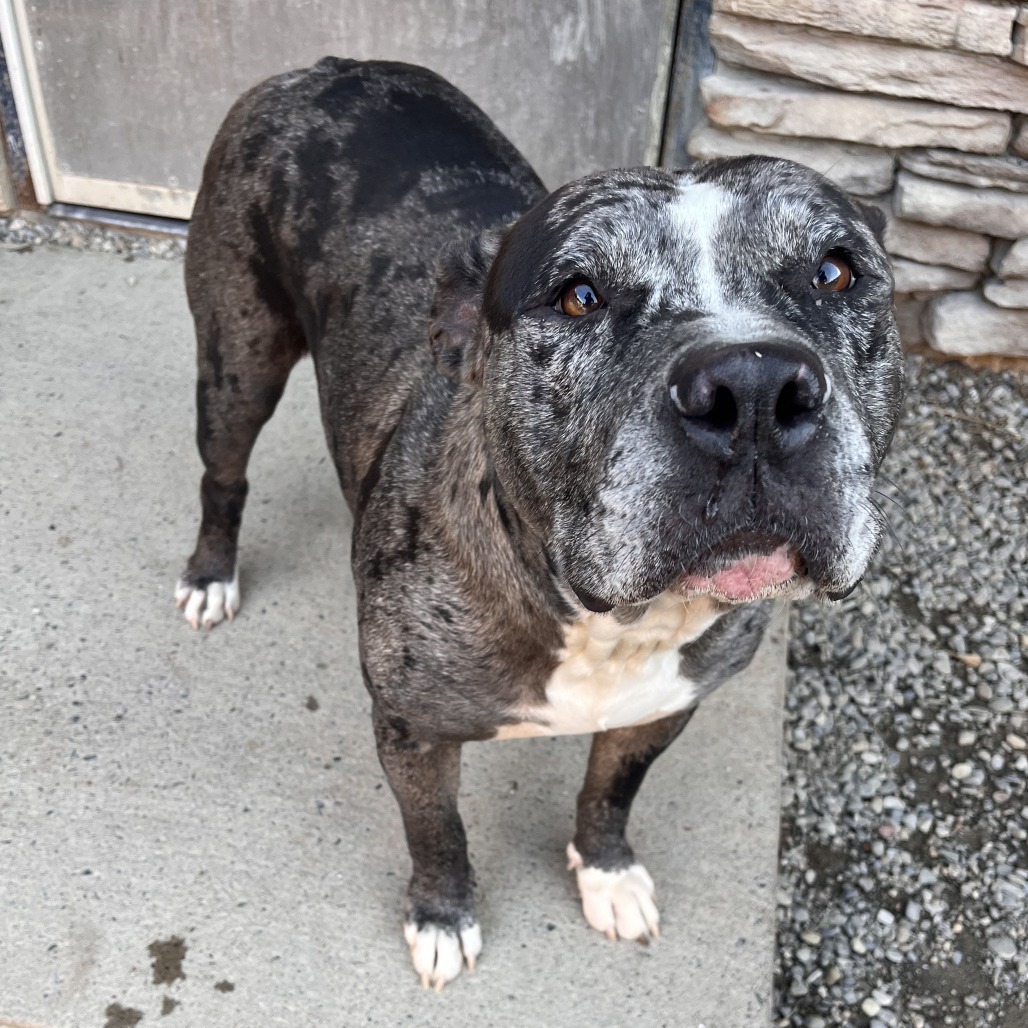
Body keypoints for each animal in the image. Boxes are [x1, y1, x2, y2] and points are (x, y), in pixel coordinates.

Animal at [175, 57, 903, 990]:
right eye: (579, 296)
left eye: (835, 273)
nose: (751, 388)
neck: (610, 622)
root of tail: (324, 68)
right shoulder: (411, 729)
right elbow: (435, 830)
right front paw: (442, 916)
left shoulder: (662, 708)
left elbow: (610, 792)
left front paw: (607, 872)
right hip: (238, 360)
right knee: (224, 472)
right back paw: (210, 574)